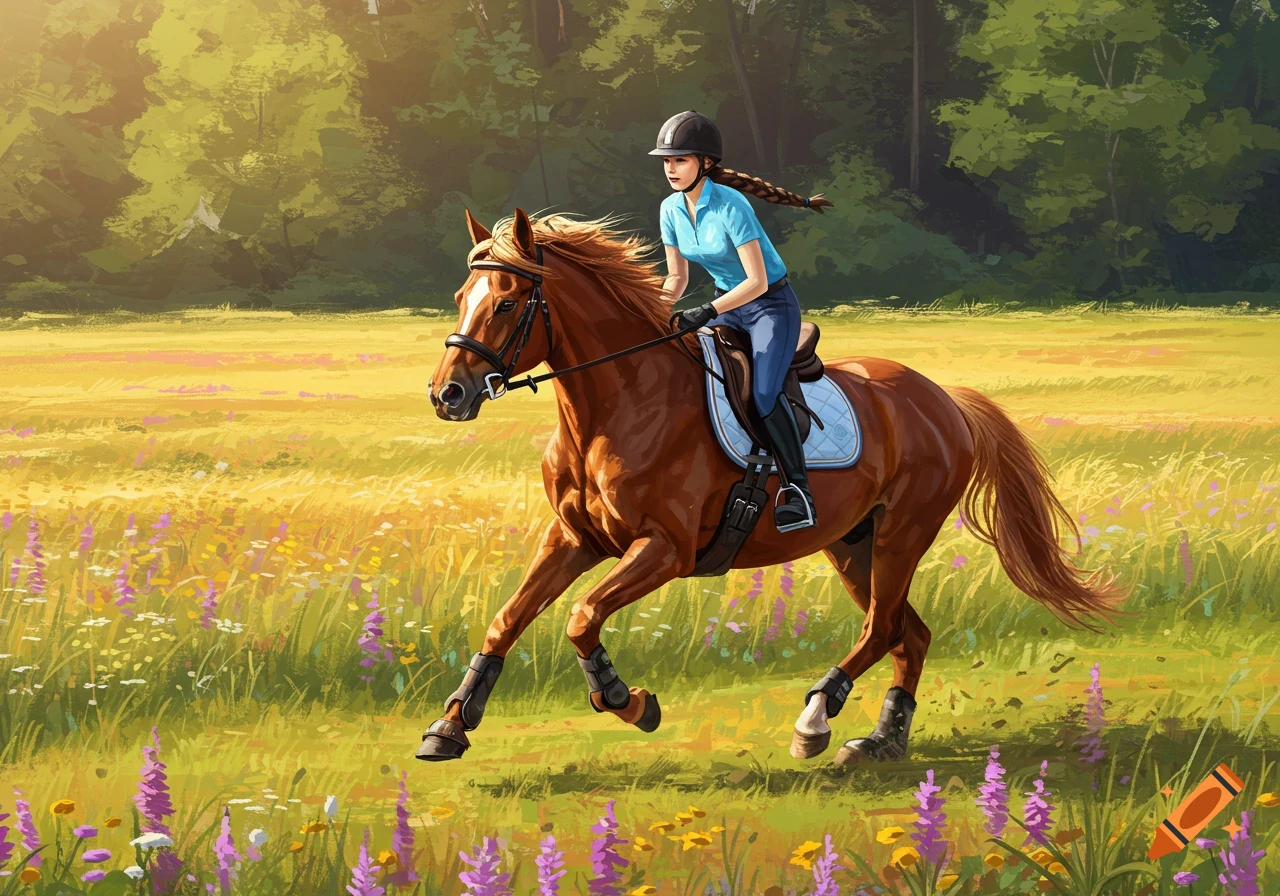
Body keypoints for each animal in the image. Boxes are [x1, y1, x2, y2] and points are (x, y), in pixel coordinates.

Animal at [417, 206, 1126, 764]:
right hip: (851, 543)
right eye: (460, 298)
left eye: (507, 302)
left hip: (902, 532)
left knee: (882, 627)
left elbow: (582, 615)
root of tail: (944, 398)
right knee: (907, 632)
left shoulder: (665, 548)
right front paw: (449, 727)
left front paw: (627, 699)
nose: (446, 396)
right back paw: (882, 740)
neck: (615, 406)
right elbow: (507, 620)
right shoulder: (573, 538)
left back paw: (816, 720)